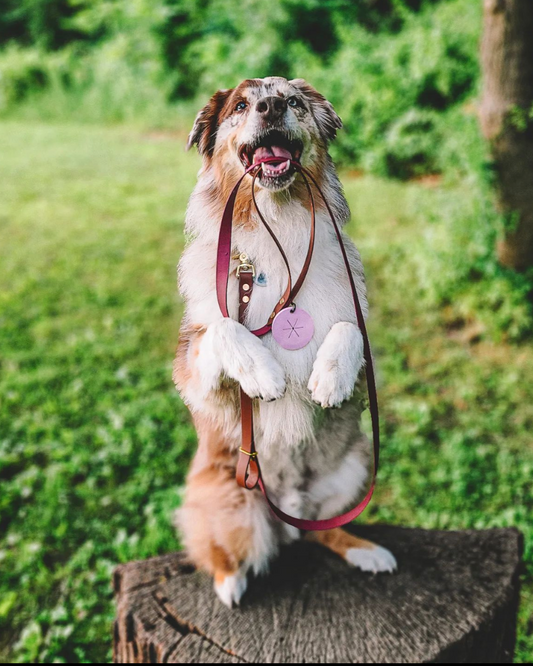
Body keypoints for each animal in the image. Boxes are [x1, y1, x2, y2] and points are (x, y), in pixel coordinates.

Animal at [174, 75, 394, 604]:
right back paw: (229, 582)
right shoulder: (192, 369)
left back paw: (366, 551)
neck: (277, 225)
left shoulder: (365, 349)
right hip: (232, 501)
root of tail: (287, 513)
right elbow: (224, 328)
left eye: (293, 100)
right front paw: (263, 372)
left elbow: (348, 328)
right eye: (240, 105)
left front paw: (330, 379)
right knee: (222, 547)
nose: (272, 107)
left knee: (324, 531)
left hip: (355, 465)